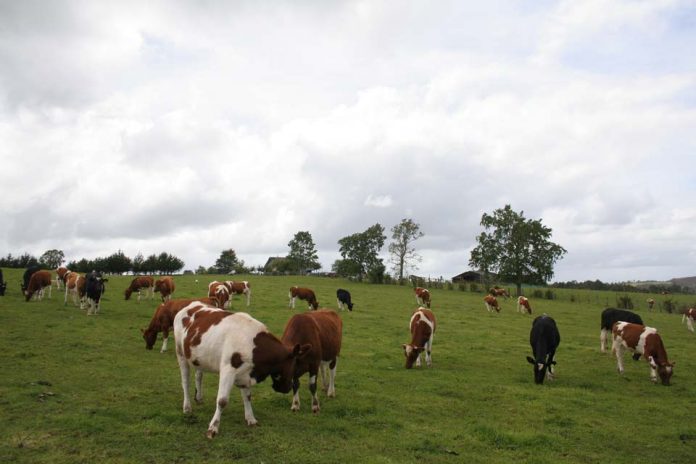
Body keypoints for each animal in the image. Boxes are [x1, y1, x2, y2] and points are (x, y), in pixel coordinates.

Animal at [173, 304, 310, 438]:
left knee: (199, 375)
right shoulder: (228, 370)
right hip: (180, 353)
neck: (254, 347)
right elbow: (222, 401)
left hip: (199, 358)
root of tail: (189, 306)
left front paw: (251, 419)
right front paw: (213, 427)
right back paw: (187, 407)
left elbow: (247, 397)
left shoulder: (246, 373)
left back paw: (199, 398)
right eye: (295, 364)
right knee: (185, 382)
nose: (288, 387)